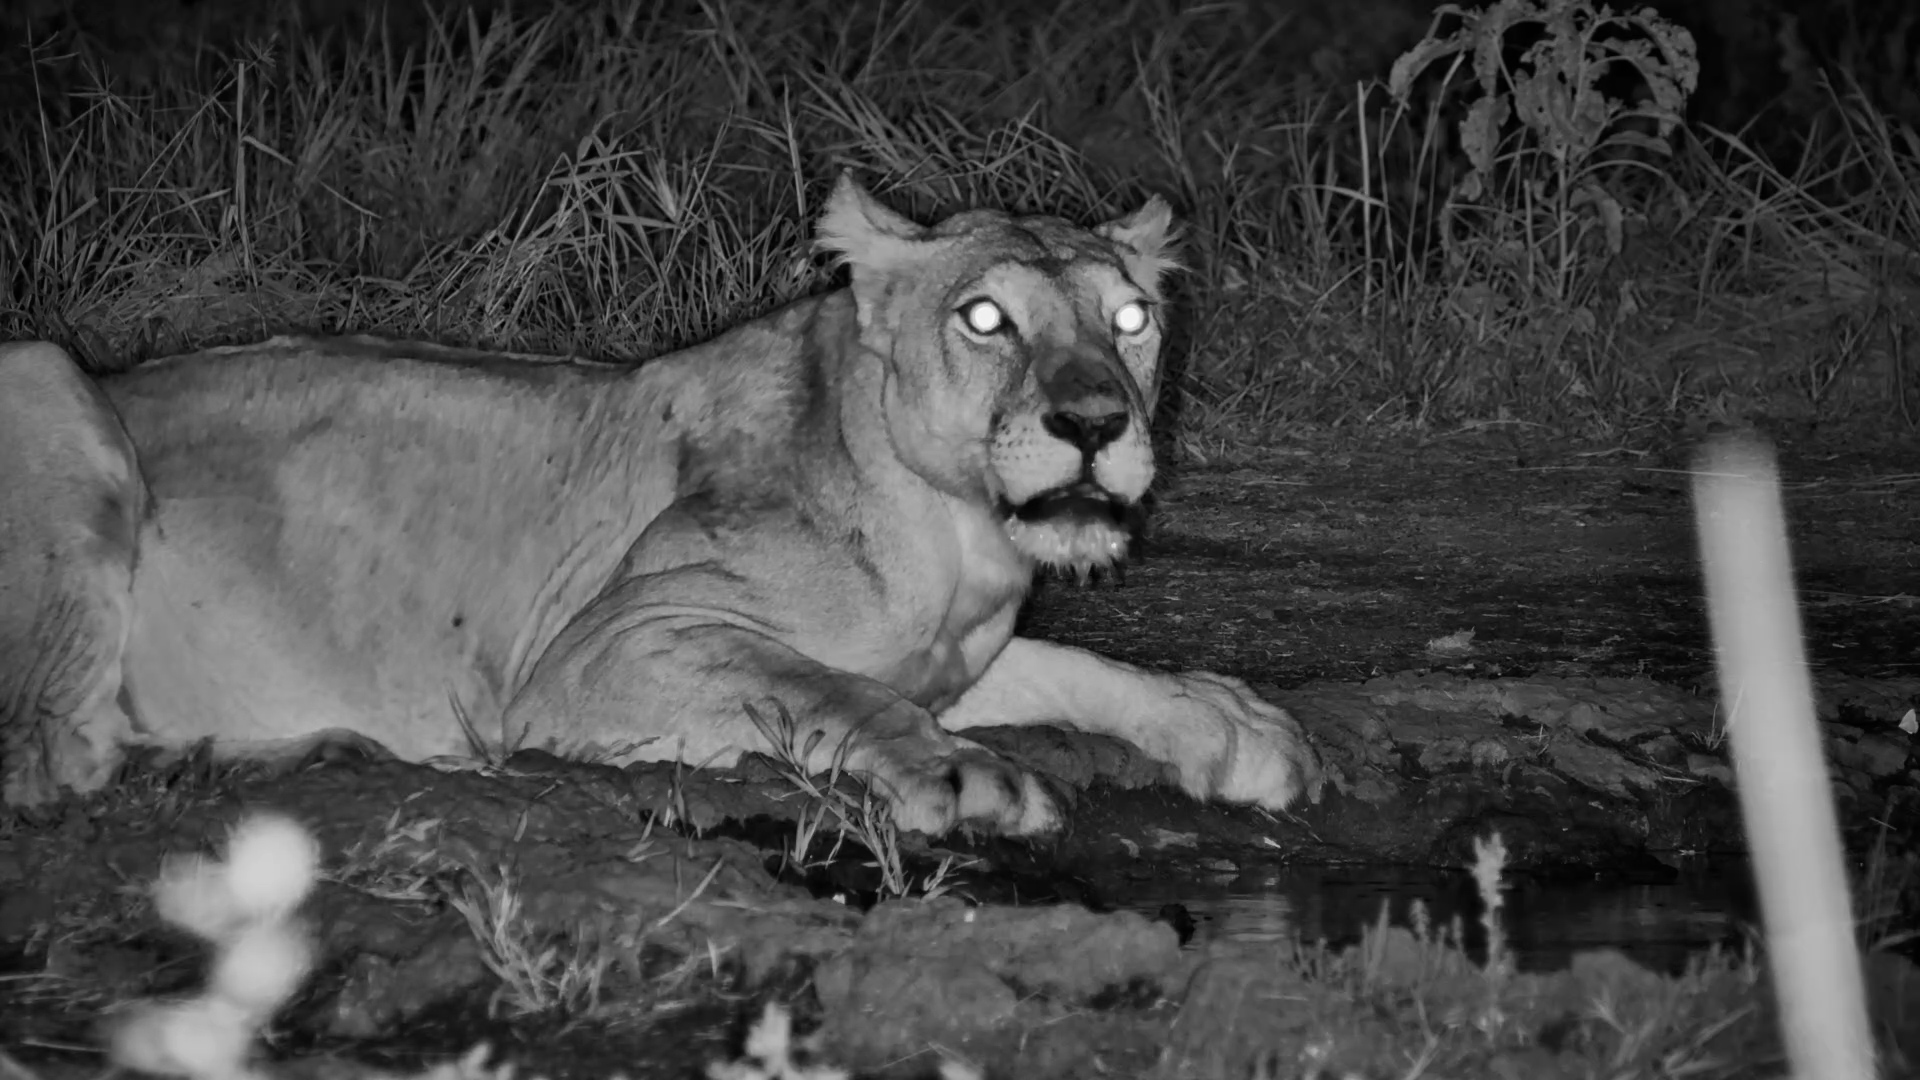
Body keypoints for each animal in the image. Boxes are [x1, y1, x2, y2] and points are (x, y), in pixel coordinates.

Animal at [0, 173, 1323, 835]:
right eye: (987, 318)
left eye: (1131, 319)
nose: (1096, 425)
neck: (961, 541)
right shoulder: (600, 652)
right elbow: (823, 687)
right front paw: (959, 777)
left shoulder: (961, 655)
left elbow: (1084, 670)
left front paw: (1235, 728)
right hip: (47, 377)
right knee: (46, 755)